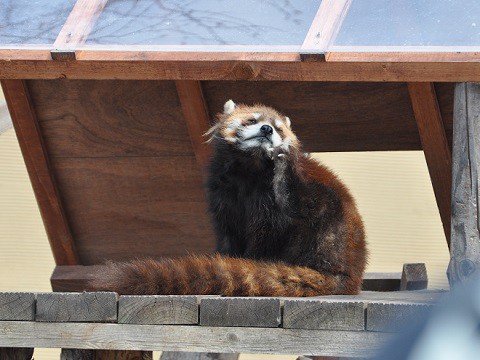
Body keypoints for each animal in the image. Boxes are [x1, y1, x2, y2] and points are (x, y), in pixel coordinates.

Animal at [91, 100, 368, 296]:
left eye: (279, 129)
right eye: (252, 120)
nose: (267, 129)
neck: (248, 171)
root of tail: (349, 272)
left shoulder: (268, 209)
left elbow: (266, 237)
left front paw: (250, 263)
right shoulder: (223, 198)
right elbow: (228, 234)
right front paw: (226, 259)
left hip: (324, 220)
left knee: (307, 201)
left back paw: (284, 174)